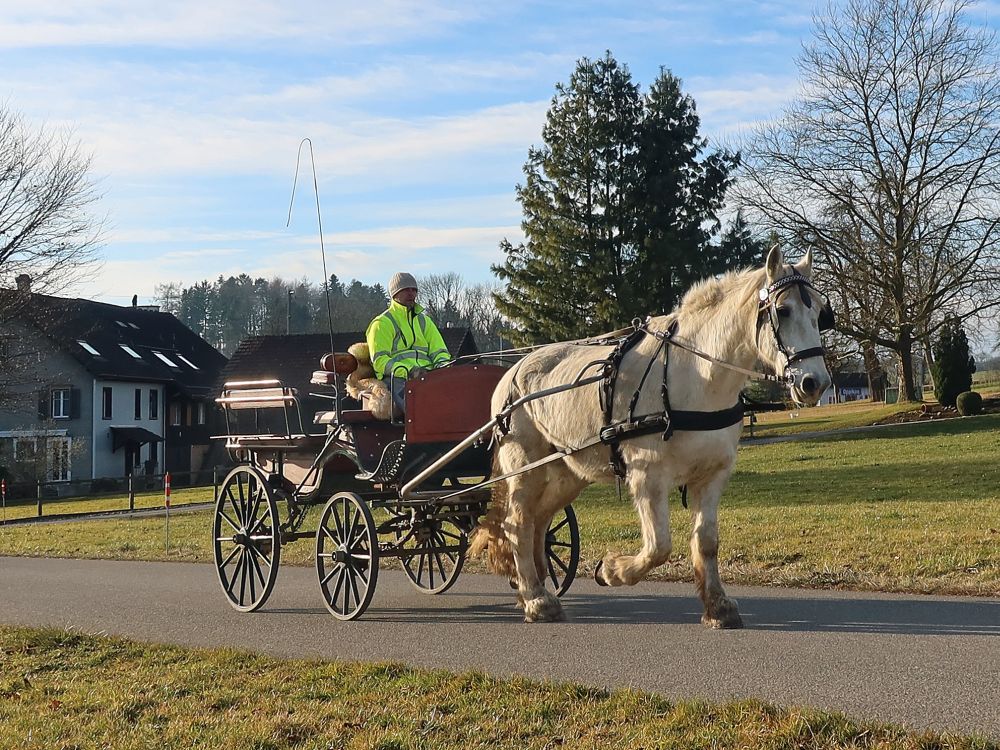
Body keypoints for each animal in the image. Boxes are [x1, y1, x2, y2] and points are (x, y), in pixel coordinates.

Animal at [472, 247, 832, 628]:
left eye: (819, 313)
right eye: (783, 310)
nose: (815, 382)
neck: (696, 377)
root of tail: (512, 371)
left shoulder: (713, 474)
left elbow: (707, 541)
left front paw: (718, 606)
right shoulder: (648, 476)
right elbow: (659, 546)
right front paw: (611, 570)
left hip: (566, 473)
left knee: (539, 521)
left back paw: (536, 586)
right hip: (525, 470)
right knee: (518, 524)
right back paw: (535, 598)